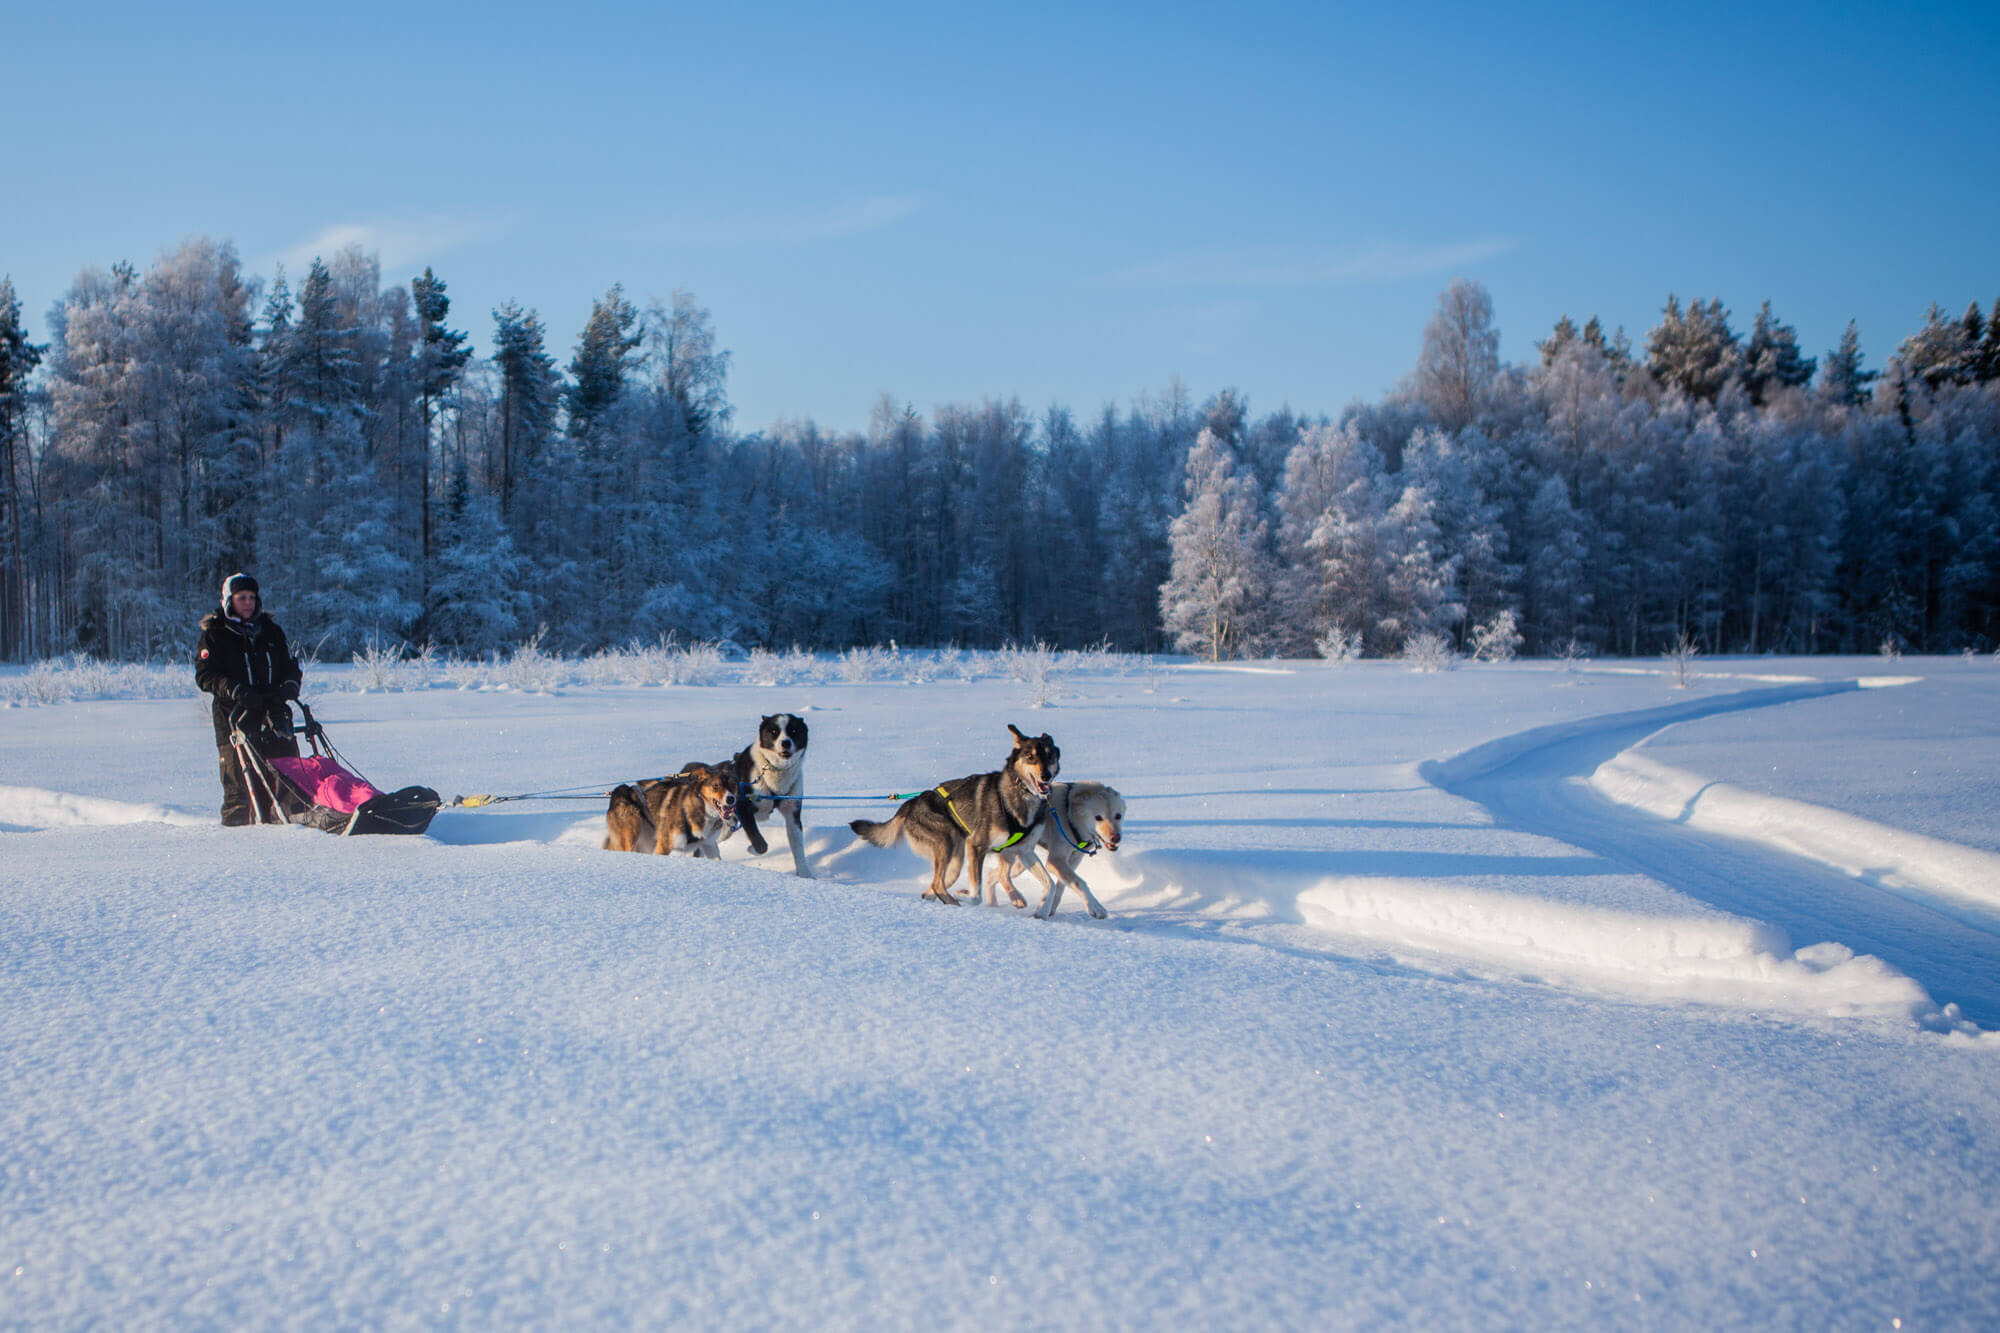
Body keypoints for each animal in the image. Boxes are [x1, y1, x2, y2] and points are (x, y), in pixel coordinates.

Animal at [608, 764, 744, 856]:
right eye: (716, 786)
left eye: (733, 785)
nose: (731, 799)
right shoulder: (663, 846)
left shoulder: (709, 844)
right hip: (632, 835)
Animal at [688, 712, 812, 876]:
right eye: (774, 731)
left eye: (794, 730)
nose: (785, 743)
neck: (774, 772)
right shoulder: (743, 808)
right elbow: (761, 844)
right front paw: (751, 848)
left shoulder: (792, 813)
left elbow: (798, 848)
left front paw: (806, 875)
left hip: (726, 828)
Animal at [848, 720, 1064, 908]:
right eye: (1030, 756)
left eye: (1050, 756)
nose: (1046, 775)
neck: (1020, 796)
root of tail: (910, 804)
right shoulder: (976, 845)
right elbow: (976, 894)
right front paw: (965, 895)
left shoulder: (1025, 851)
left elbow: (1051, 884)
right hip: (947, 841)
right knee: (937, 884)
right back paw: (955, 902)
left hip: (955, 859)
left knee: (932, 888)